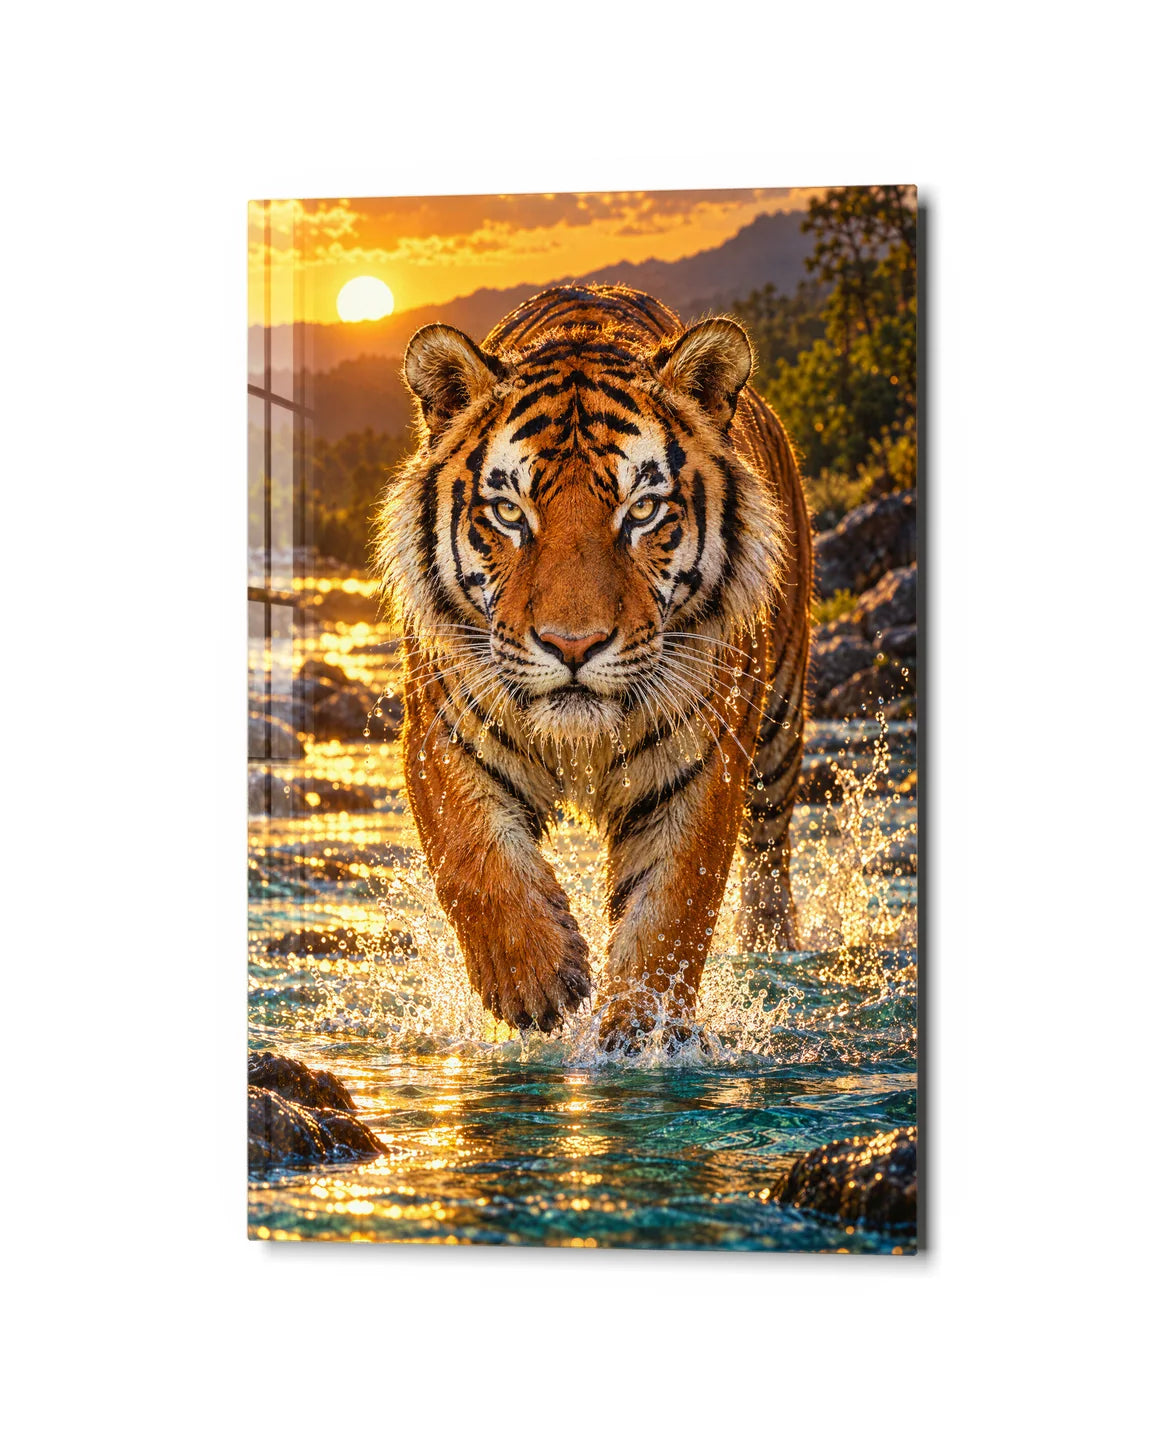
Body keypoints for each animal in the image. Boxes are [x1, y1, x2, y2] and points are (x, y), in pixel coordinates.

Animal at [375, 283, 811, 1051]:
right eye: (508, 511)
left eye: (642, 510)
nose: (572, 645)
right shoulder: (440, 731)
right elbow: (473, 858)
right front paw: (536, 984)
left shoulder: (704, 759)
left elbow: (671, 908)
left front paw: (640, 1033)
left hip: (780, 726)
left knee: (768, 851)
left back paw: (772, 949)